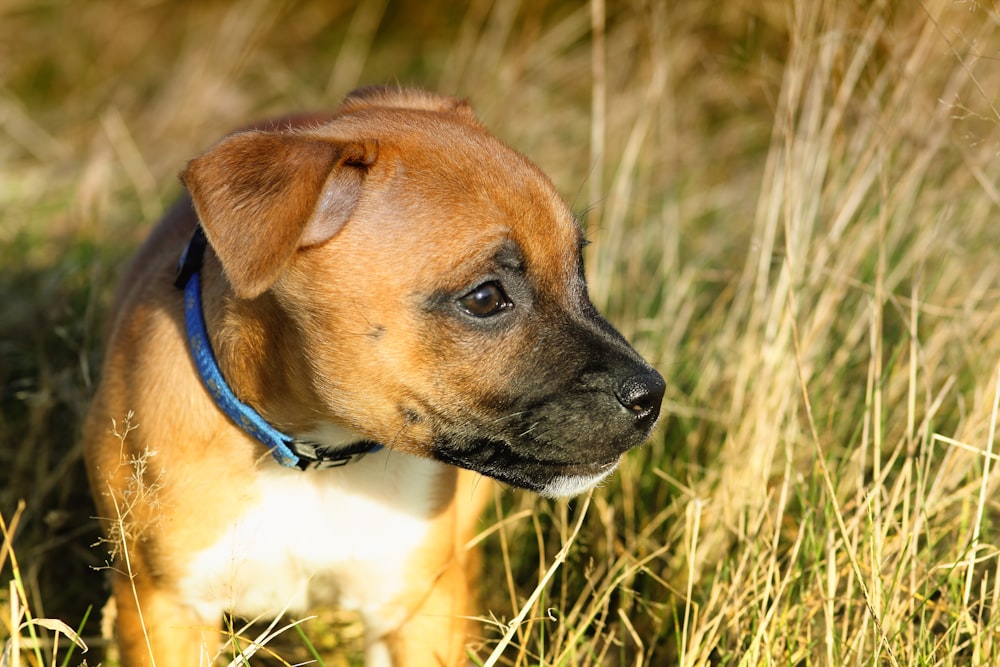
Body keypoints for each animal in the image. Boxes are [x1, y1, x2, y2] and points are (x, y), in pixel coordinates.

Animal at [84, 86, 664, 664]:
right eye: (484, 298)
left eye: (578, 271)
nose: (651, 395)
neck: (313, 456)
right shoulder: (165, 609)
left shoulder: (415, 610)